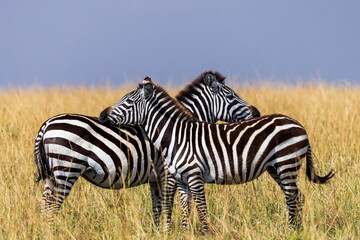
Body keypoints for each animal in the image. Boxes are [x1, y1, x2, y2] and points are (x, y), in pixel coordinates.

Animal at [34, 70, 258, 226]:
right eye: (232, 97)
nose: (256, 112)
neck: (177, 128)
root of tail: (46, 124)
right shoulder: (168, 173)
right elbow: (168, 206)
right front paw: (169, 231)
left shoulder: (155, 178)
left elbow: (157, 209)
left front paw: (158, 232)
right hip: (67, 170)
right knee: (52, 208)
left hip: (52, 176)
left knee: (45, 207)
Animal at [99, 78, 334, 232]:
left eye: (128, 102)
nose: (101, 114)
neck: (175, 136)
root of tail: (299, 125)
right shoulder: (181, 179)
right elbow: (185, 209)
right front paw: (186, 234)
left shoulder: (194, 176)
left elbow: (200, 208)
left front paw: (205, 233)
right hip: (277, 168)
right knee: (297, 196)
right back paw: (297, 231)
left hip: (286, 163)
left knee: (292, 197)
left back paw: (291, 230)